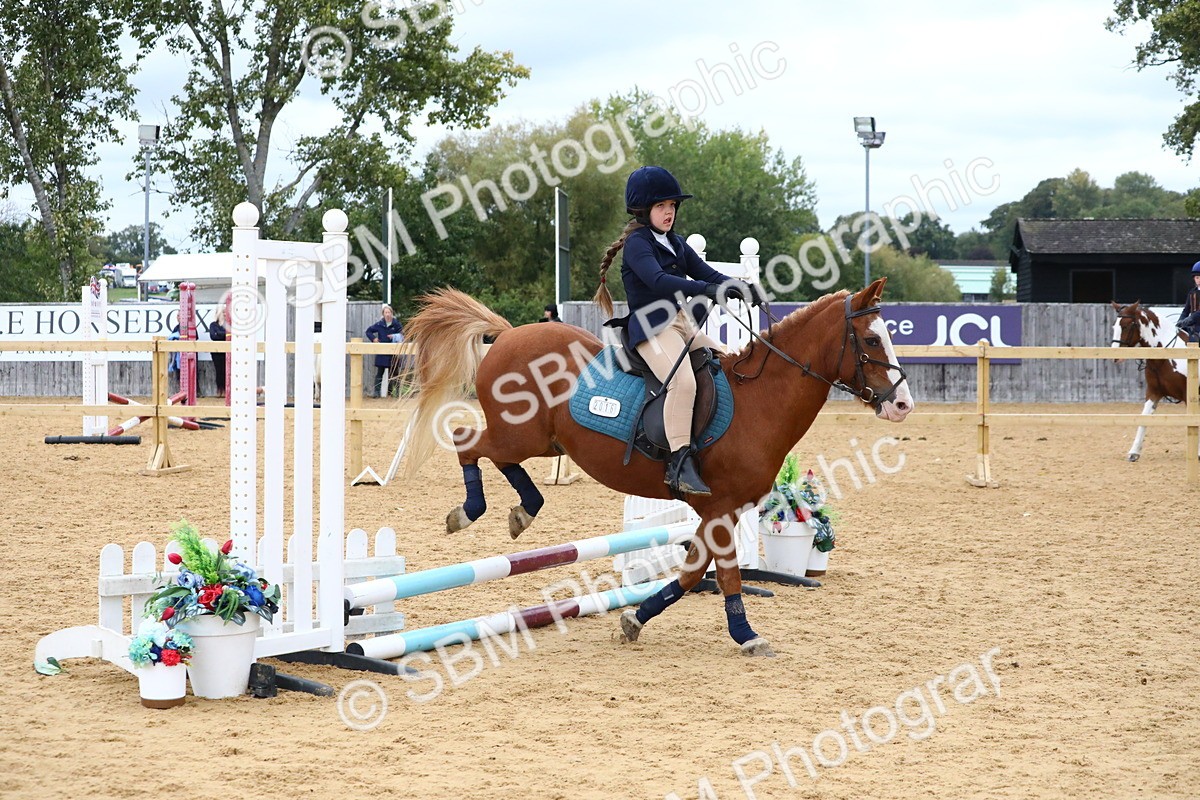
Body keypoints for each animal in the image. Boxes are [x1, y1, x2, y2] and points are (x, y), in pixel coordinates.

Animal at [402, 277, 914, 656]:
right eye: (872, 339)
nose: (902, 404)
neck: (759, 400)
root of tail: (509, 333)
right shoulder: (722, 509)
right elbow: (723, 574)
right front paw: (746, 635)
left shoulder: (719, 513)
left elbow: (691, 574)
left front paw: (636, 617)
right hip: (518, 433)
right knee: (467, 443)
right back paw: (469, 511)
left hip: (543, 443)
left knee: (499, 458)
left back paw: (524, 508)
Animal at [1110, 301, 1190, 461]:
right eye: (1114, 327)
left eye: (1126, 326)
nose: (1115, 357)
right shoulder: (1154, 392)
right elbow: (1143, 419)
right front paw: (1134, 452)